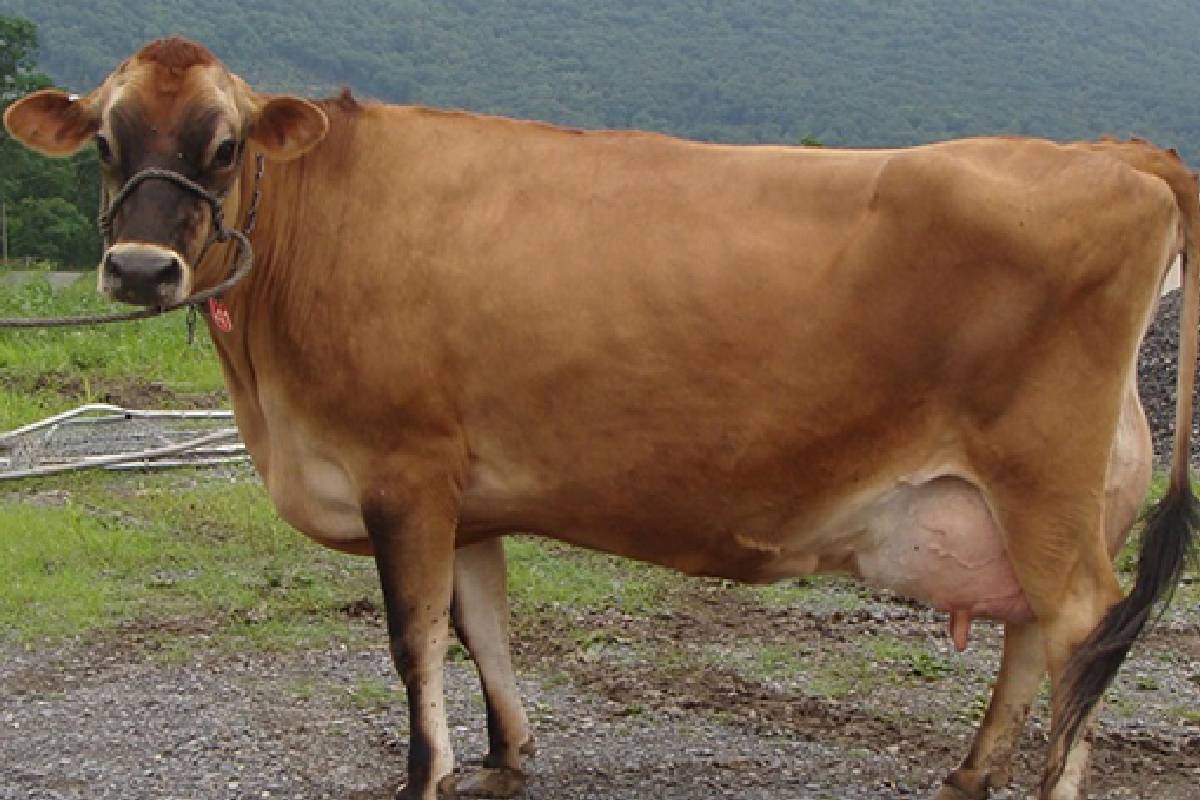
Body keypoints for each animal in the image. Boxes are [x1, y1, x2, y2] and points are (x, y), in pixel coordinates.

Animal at [4, 37, 1196, 800]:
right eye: (106, 142)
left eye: (226, 144)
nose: (140, 267)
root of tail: (1110, 151)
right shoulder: (468, 493)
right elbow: (481, 624)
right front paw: (507, 755)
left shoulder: (402, 470)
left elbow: (413, 637)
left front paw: (424, 772)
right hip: (1031, 497)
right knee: (1037, 633)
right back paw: (970, 770)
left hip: (1040, 476)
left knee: (1083, 626)